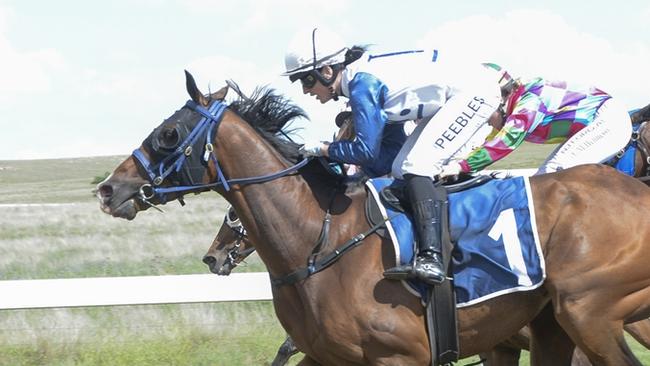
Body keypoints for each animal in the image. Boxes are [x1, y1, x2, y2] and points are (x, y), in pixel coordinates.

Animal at [95, 71, 648, 364]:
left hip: (588, 311)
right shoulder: (325, 354)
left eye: (168, 134)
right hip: (552, 326)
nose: (108, 189)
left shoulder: (401, 356)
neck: (318, 242)